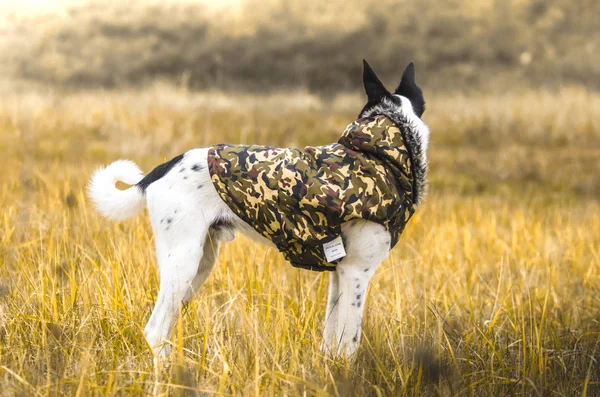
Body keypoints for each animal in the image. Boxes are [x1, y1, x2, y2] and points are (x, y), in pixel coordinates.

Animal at [88, 59, 426, 358]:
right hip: (183, 262)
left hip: (199, 265)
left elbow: (331, 342)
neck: (379, 157)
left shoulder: (339, 275)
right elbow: (350, 345)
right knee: (155, 330)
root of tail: (162, 169)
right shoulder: (357, 274)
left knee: (164, 331)